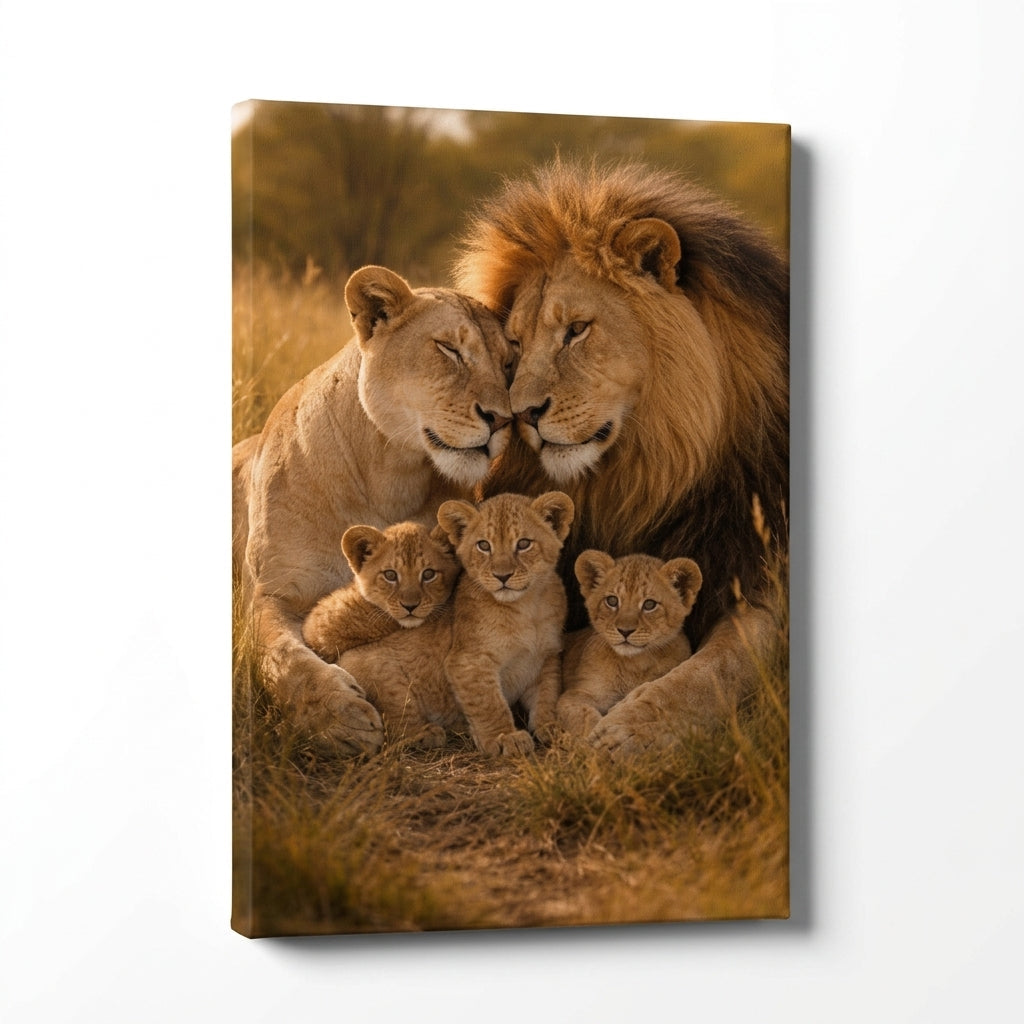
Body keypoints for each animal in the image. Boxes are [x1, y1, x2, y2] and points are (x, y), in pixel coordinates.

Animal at [233, 265, 514, 755]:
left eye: (508, 364)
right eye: (449, 349)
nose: (503, 419)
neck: (389, 475)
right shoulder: (271, 593)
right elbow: (282, 657)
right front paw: (339, 718)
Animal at [557, 551, 702, 739]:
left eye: (649, 604)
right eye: (612, 601)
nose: (625, 631)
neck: (634, 663)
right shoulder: (575, 694)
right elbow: (583, 715)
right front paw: (596, 738)